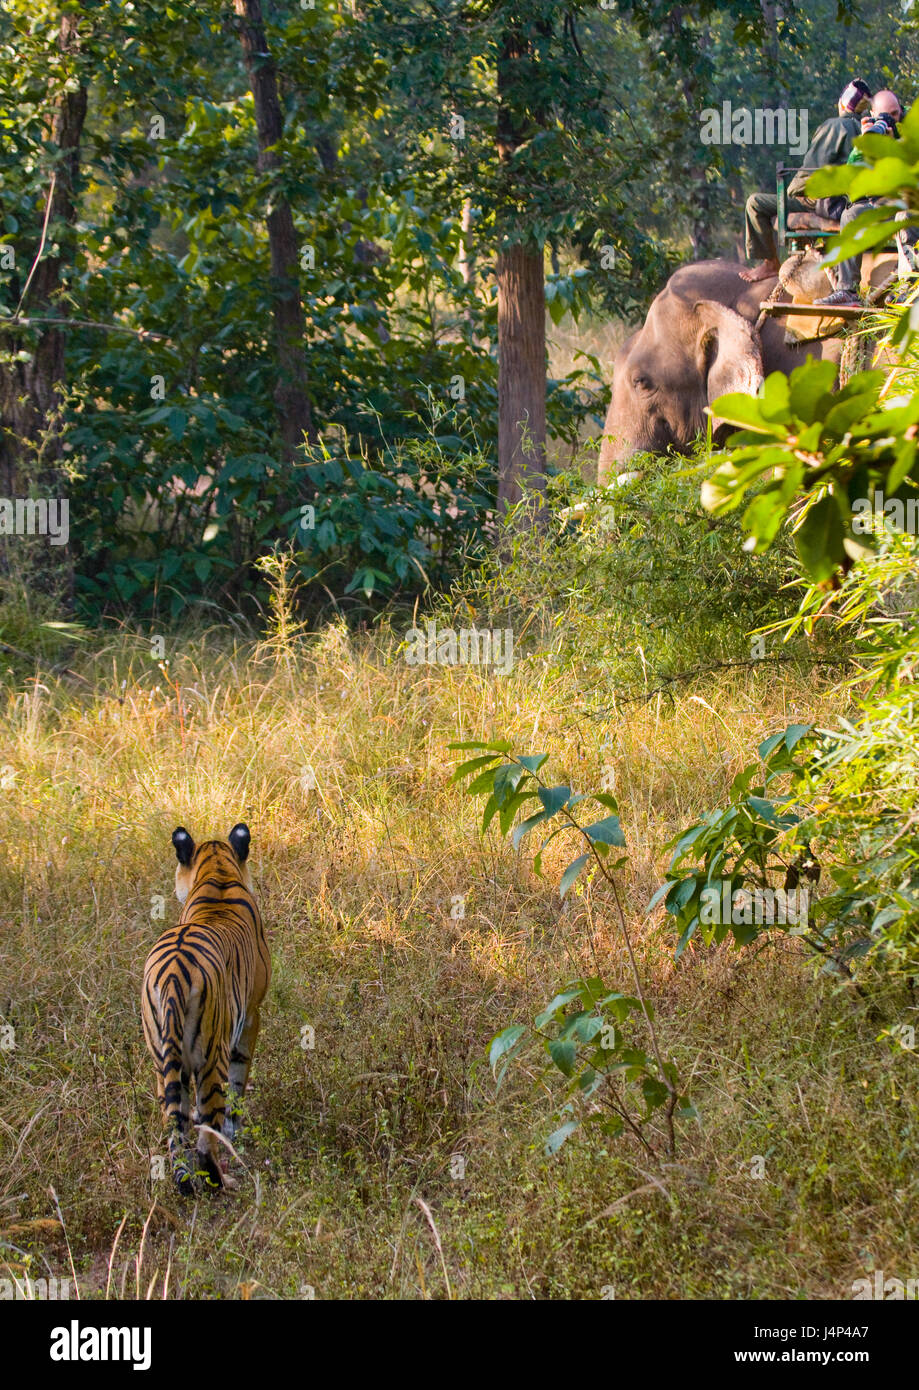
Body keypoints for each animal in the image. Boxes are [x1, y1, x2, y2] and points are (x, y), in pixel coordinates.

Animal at [139, 822, 268, 1195]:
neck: (218, 873)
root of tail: (171, 977)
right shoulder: (250, 1016)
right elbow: (239, 1081)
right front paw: (235, 1130)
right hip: (212, 1056)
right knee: (207, 1135)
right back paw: (219, 1181)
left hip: (162, 1057)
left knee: (174, 1125)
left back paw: (183, 1180)